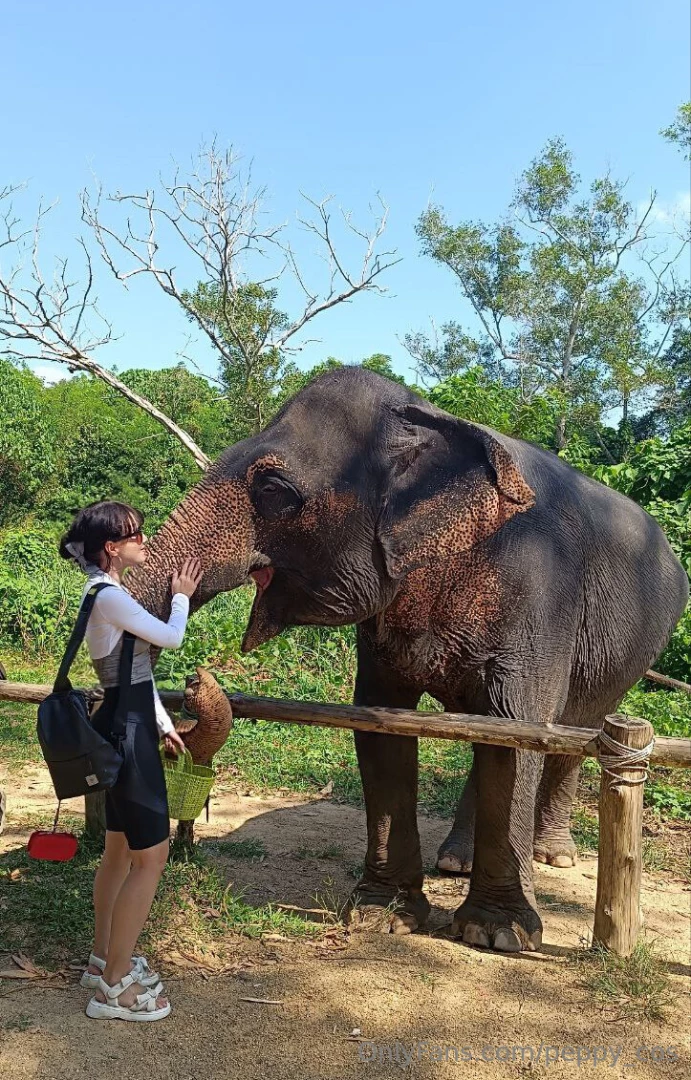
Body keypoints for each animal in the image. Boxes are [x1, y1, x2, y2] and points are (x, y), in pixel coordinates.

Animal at [125, 368, 689, 952]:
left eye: (275, 491)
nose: (196, 681)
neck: (430, 420)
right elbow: (382, 722)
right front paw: (384, 916)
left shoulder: (540, 595)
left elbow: (519, 730)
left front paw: (496, 934)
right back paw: (456, 861)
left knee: (571, 727)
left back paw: (551, 854)